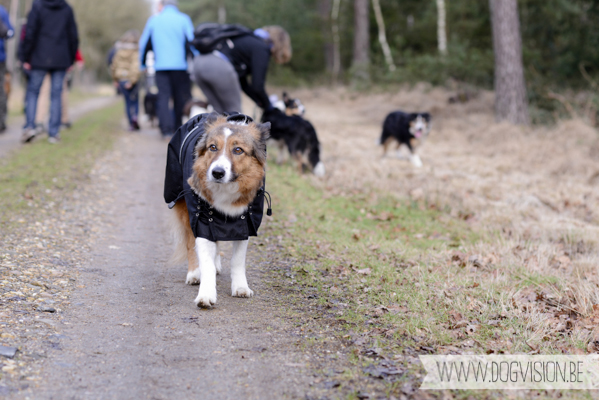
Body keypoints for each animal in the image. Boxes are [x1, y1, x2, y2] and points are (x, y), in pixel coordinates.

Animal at [162, 112, 270, 310]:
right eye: (213, 147)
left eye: (238, 150)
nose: (217, 173)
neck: (226, 189)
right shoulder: (203, 219)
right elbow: (205, 261)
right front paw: (206, 294)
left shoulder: (245, 223)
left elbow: (237, 260)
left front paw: (240, 287)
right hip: (185, 208)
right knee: (191, 243)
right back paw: (194, 273)